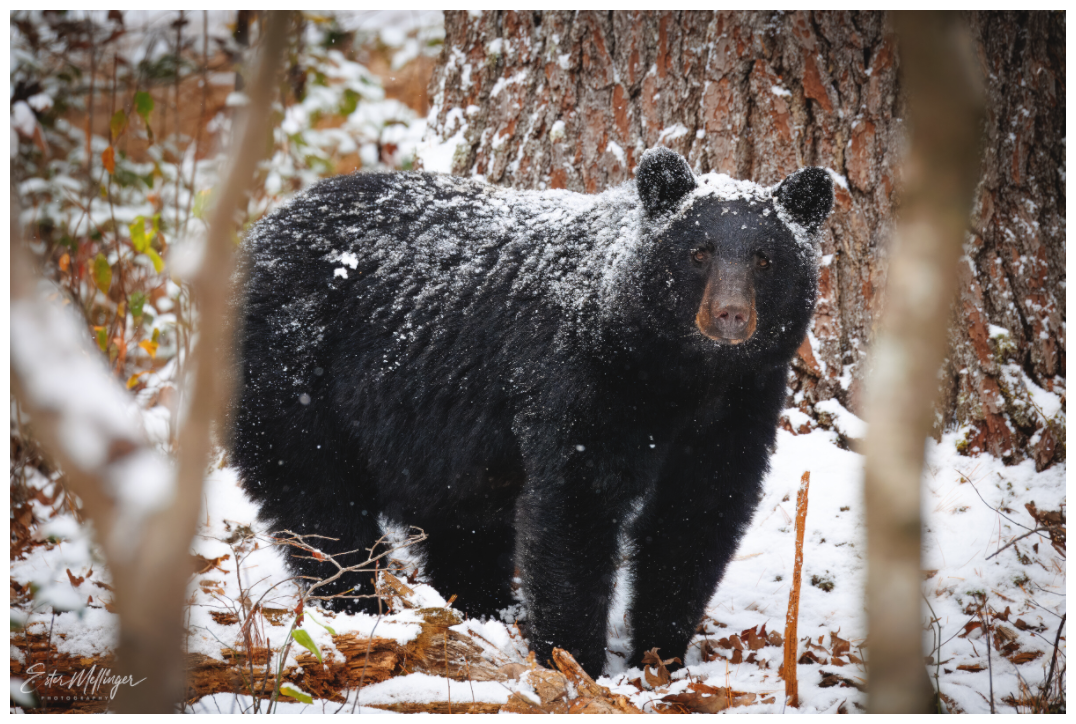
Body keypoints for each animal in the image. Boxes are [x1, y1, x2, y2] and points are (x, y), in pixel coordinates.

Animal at [230, 147, 833, 677]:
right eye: (699, 252)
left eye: (765, 258)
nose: (730, 316)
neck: (681, 376)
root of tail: (262, 231)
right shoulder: (583, 379)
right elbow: (574, 508)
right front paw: (577, 661)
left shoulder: (741, 403)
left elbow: (698, 515)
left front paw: (662, 656)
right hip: (291, 380)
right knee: (318, 505)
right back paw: (358, 606)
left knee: (461, 524)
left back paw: (480, 613)